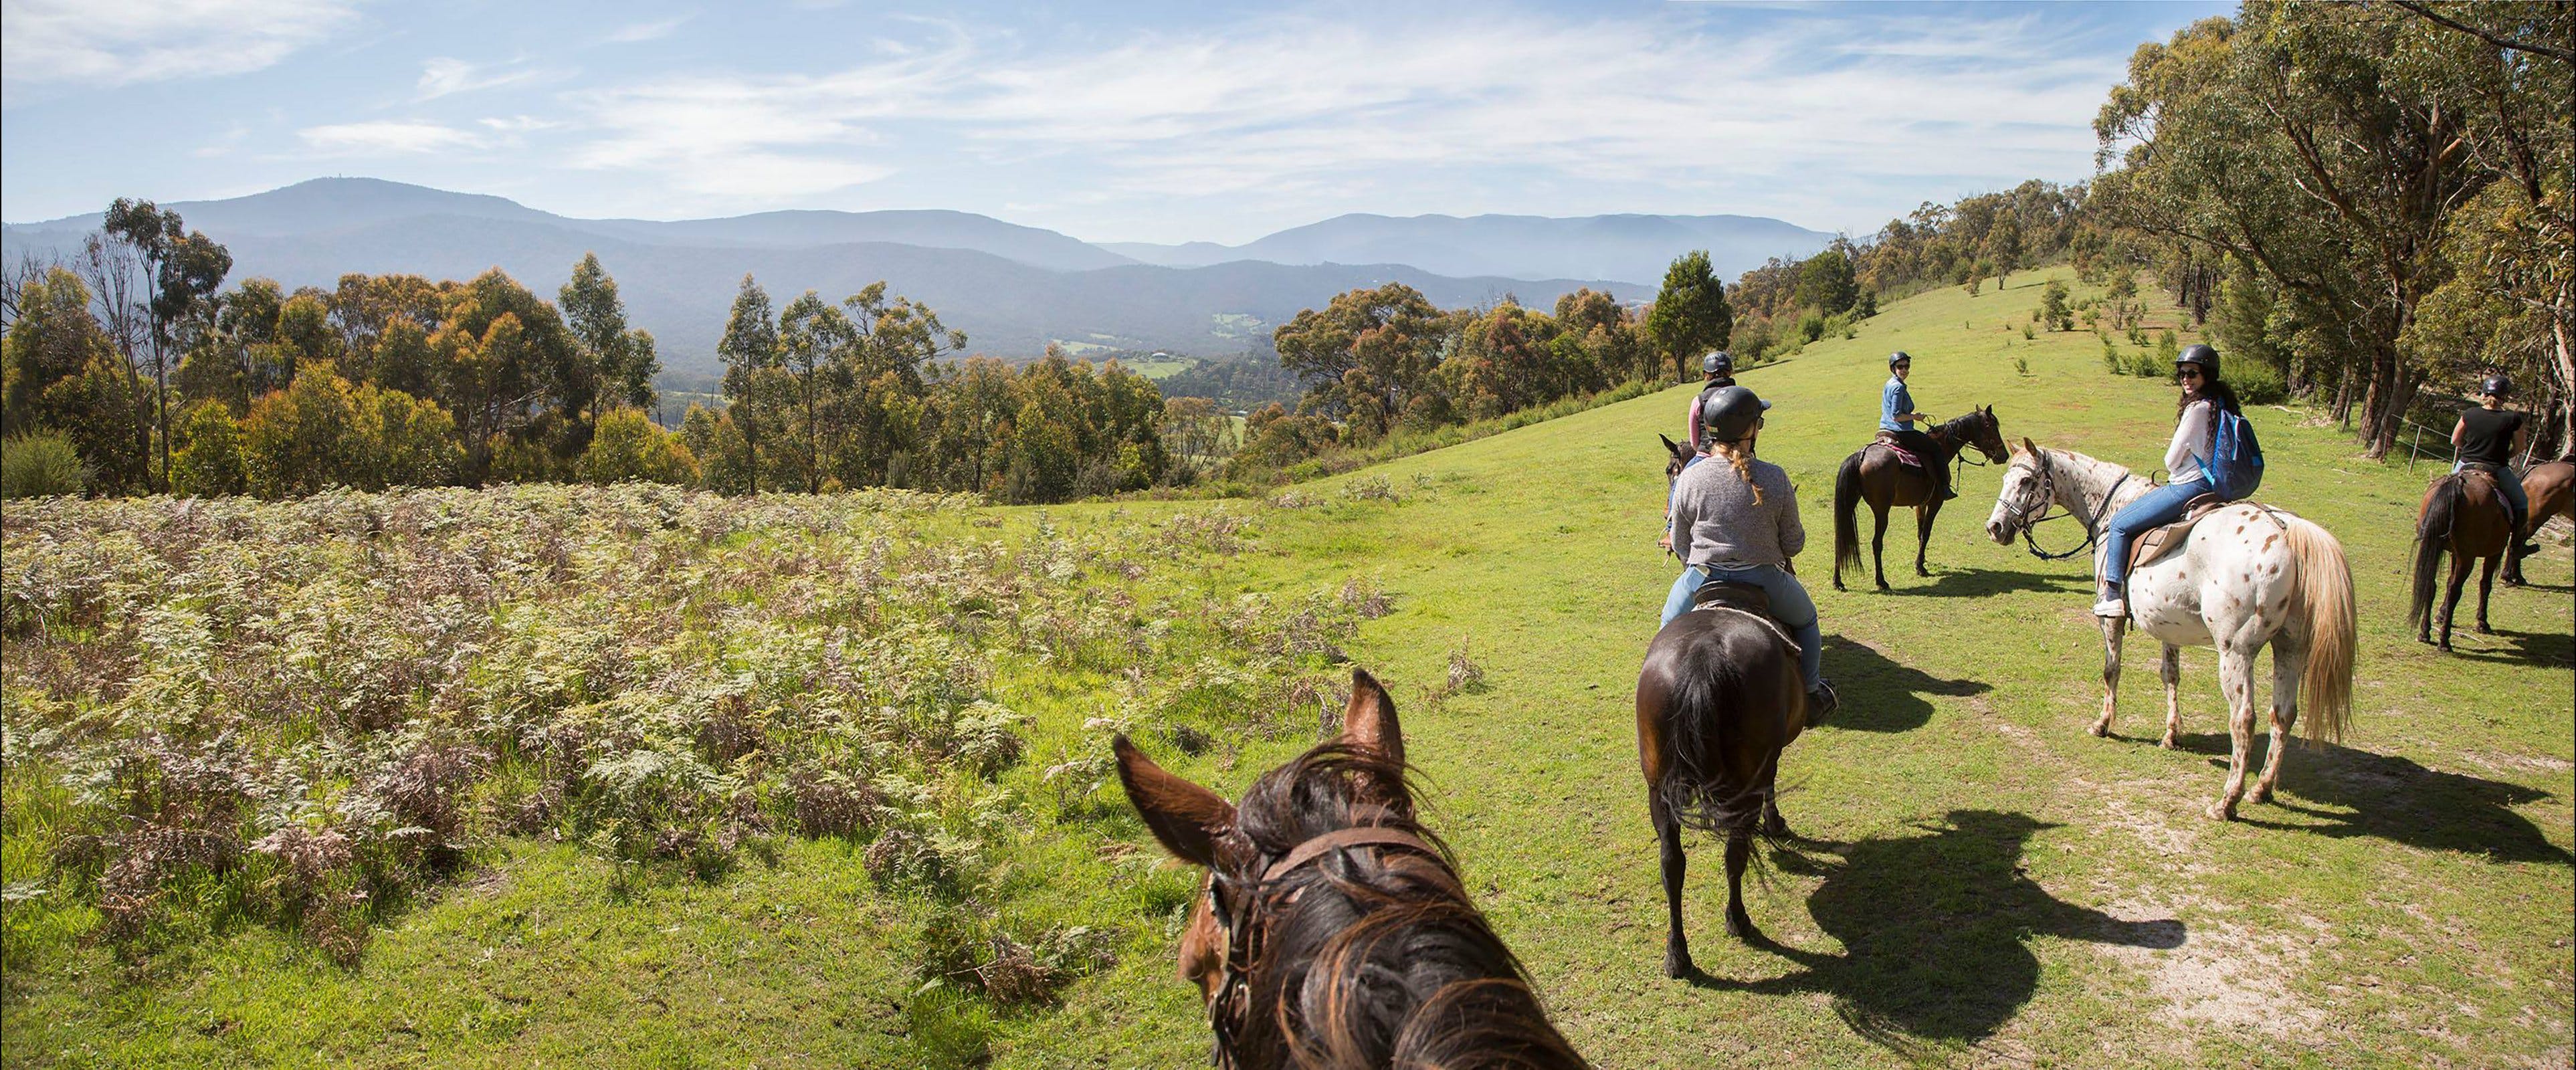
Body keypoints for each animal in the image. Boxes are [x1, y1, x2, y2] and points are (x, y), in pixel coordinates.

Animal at [1636, 575, 1810, 975]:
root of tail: (1703, 656)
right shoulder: (1768, 761)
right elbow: (1771, 789)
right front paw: (1776, 824)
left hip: (1660, 791)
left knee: (1671, 864)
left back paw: (1677, 955)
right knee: (1735, 853)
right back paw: (1738, 919)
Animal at [1832, 407, 2010, 591]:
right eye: (1991, 427)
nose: (2004, 455)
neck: (1942, 446)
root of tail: (1861, 455)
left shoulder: (1921, 504)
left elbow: (1919, 533)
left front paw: (1921, 561)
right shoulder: (1935, 503)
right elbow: (1926, 533)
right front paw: (1920, 568)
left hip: (1851, 503)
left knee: (1840, 538)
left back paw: (1838, 582)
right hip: (1881, 511)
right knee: (1876, 543)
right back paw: (1881, 581)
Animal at [1982, 438, 2355, 821]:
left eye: (2026, 482)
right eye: (2006, 478)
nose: (1995, 527)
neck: (2114, 507)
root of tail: (2286, 530)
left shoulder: (2110, 620)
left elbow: (2111, 671)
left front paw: (2103, 724)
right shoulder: (2168, 626)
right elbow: (2170, 675)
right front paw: (2171, 735)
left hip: (2236, 652)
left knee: (2244, 720)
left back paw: (2227, 802)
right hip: (2290, 648)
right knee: (2282, 714)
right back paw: (2261, 790)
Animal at [2408, 470, 2514, 650]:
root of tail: (2458, 482)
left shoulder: (2454, 554)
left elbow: (2448, 580)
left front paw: (2441, 614)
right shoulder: (2495, 553)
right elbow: (2485, 585)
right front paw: (2482, 623)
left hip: (2433, 545)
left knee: (2431, 584)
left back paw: (2425, 633)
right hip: (2468, 557)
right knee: (2455, 592)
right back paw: (2444, 641)